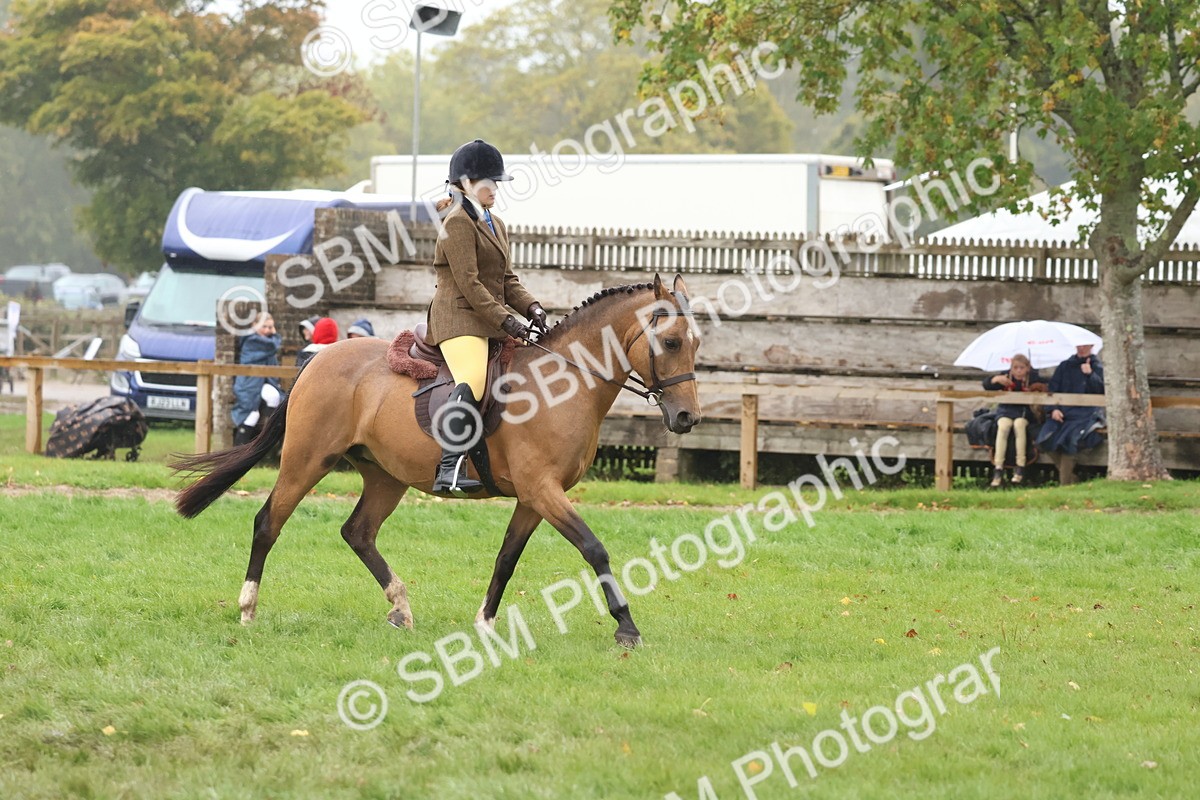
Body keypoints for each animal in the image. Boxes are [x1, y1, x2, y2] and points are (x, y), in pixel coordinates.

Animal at [172, 274, 702, 647]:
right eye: (671, 342)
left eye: (696, 343)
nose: (687, 418)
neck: (563, 382)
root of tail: (317, 360)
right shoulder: (542, 490)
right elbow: (595, 549)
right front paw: (627, 627)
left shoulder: (533, 498)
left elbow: (507, 558)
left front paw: (485, 624)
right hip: (307, 460)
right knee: (268, 522)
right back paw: (247, 608)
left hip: (385, 476)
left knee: (358, 532)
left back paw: (400, 607)